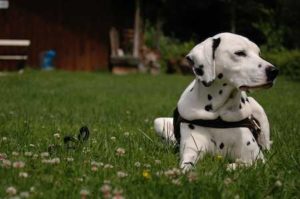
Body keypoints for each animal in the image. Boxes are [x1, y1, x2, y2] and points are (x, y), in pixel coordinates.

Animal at [155, 32, 278, 173]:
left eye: (258, 53)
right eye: (240, 53)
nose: (274, 71)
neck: (217, 113)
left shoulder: (258, 159)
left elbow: (243, 164)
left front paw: (231, 166)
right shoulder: (191, 150)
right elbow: (186, 166)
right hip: (158, 122)